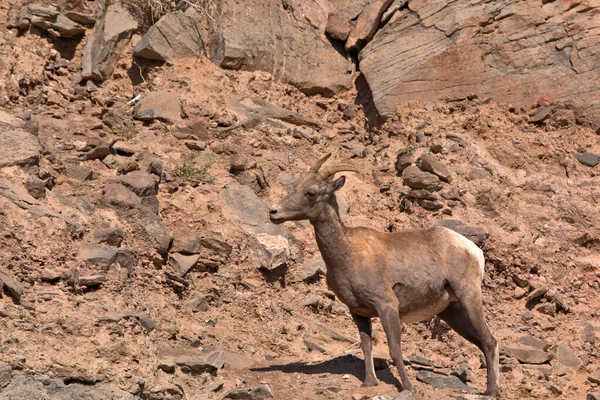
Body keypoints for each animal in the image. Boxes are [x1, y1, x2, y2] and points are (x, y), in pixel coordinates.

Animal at [270, 153, 500, 396]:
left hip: (468, 297)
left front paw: (408, 387)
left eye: (311, 192)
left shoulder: (387, 305)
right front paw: (369, 382)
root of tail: (474, 250)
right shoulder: (358, 312)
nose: (273, 212)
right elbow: (366, 345)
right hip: (451, 311)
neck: (348, 254)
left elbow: (394, 349)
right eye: (295, 186)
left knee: (490, 341)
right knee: (483, 342)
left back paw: (491, 392)